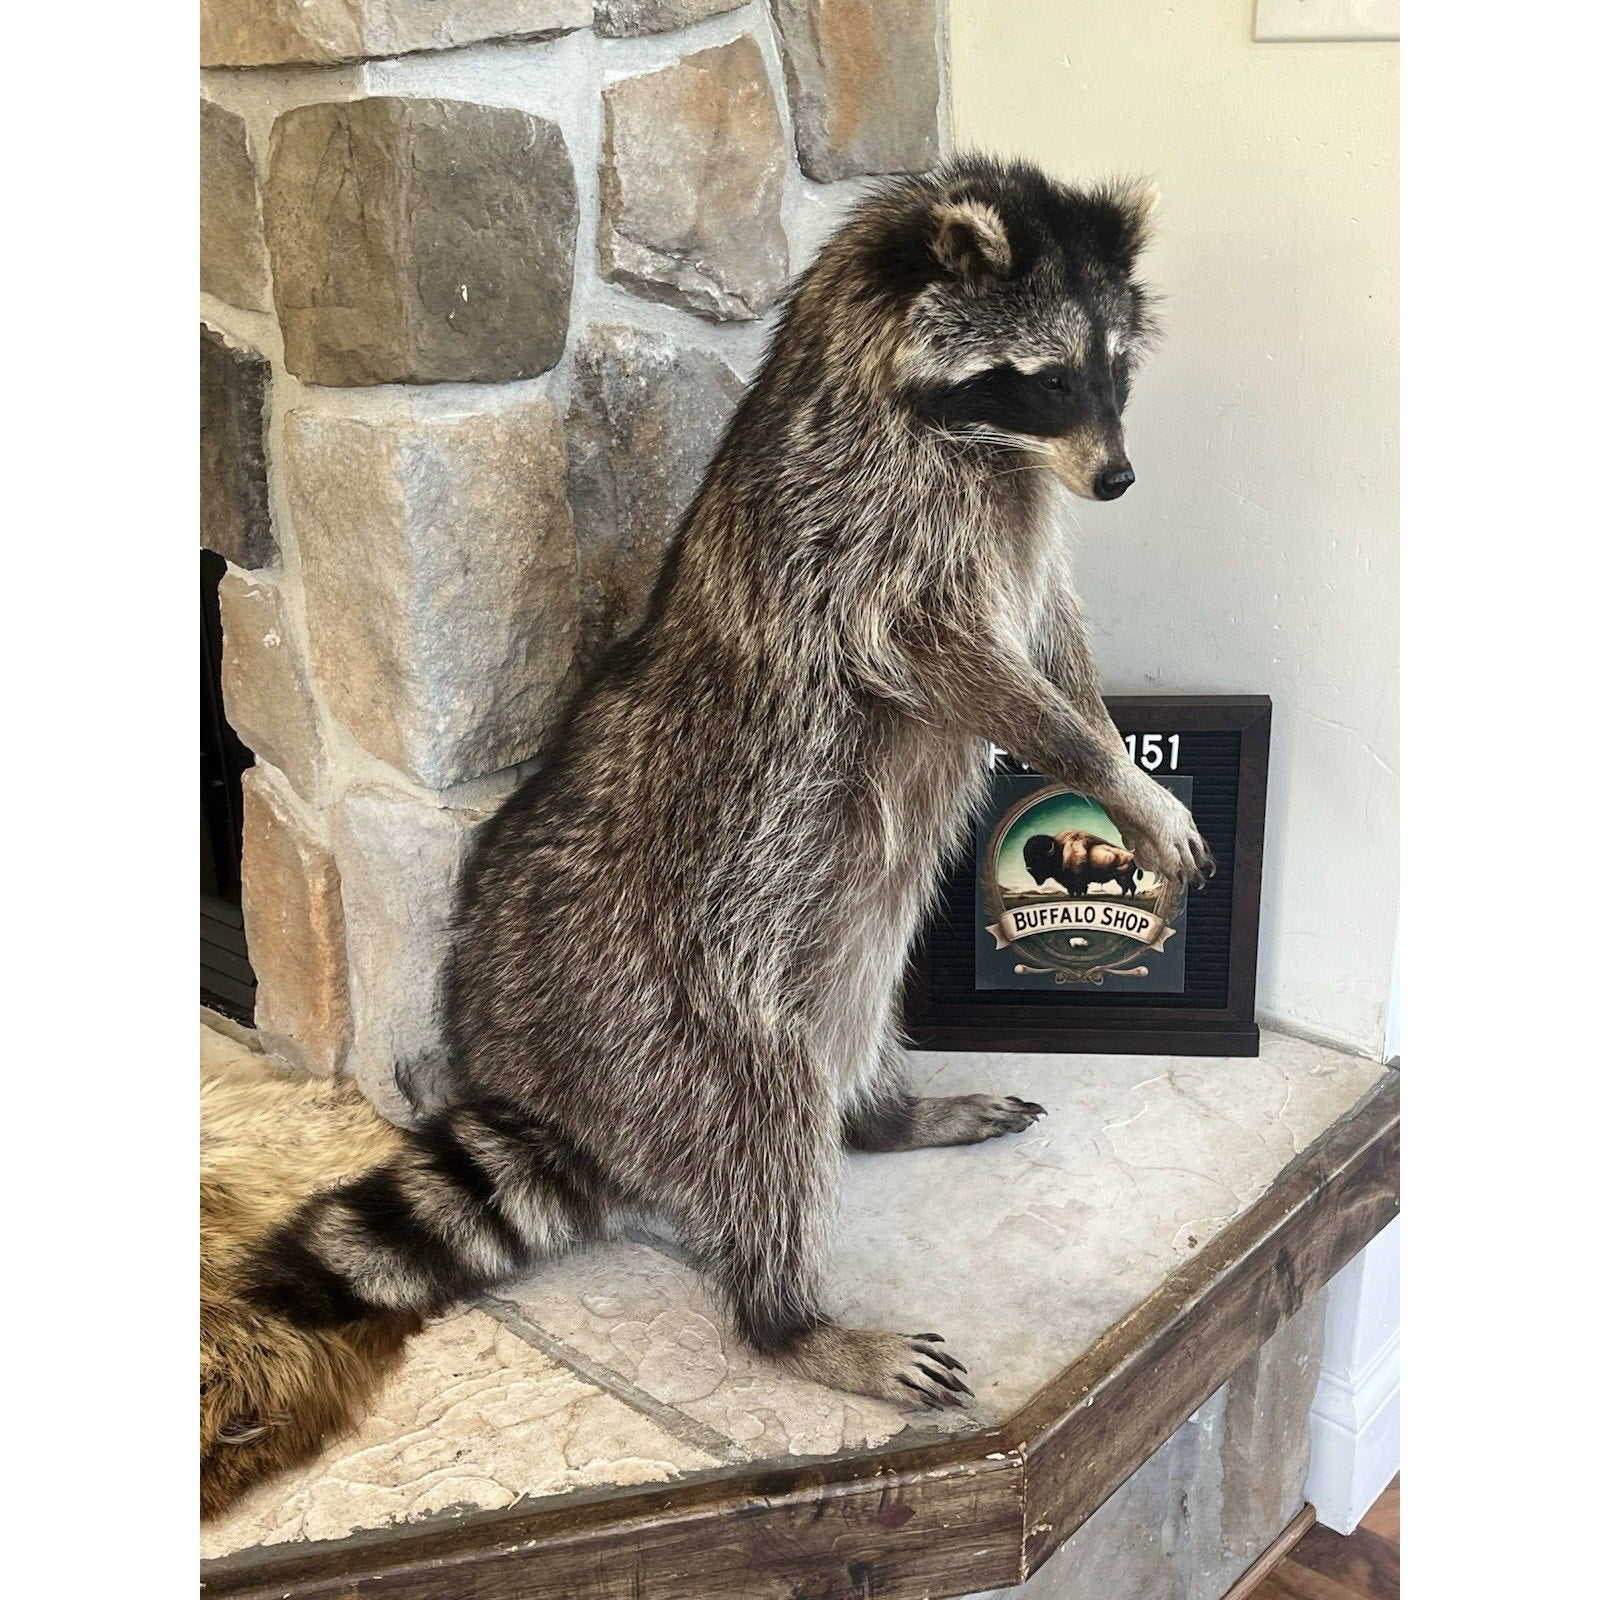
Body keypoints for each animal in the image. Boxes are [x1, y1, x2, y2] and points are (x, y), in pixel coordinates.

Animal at [243, 156, 1213, 1439]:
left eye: (1114, 371)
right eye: (1047, 378)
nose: (1117, 477)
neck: (976, 438)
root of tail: (565, 1099)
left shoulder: (1018, 523)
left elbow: (1051, 637)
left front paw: (1109, 745)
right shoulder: (862, 532)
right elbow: (957, 659)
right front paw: (1110, 776)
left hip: (835, 949)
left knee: (849, 1022)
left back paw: (881, 1112)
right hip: (683, 1004)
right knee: (766, 1118)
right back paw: (792, 1316)